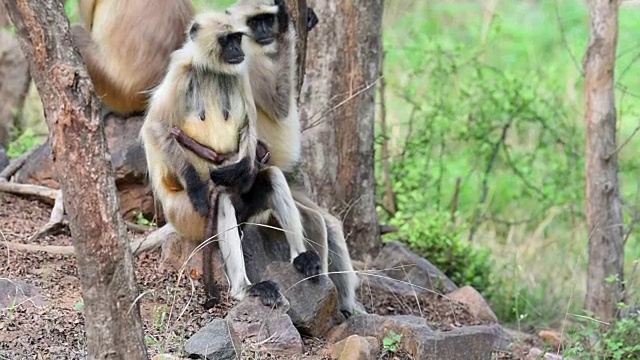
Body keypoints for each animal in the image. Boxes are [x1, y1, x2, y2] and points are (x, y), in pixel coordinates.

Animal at [228, 0, 360, 318]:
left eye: (266, 20)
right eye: (255, 22)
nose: (267, 31)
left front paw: (308, 17)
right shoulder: (246, 65)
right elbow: (279, 104)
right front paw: (288, 27)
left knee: (328, 224)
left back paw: (344, 304)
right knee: (314, 219)